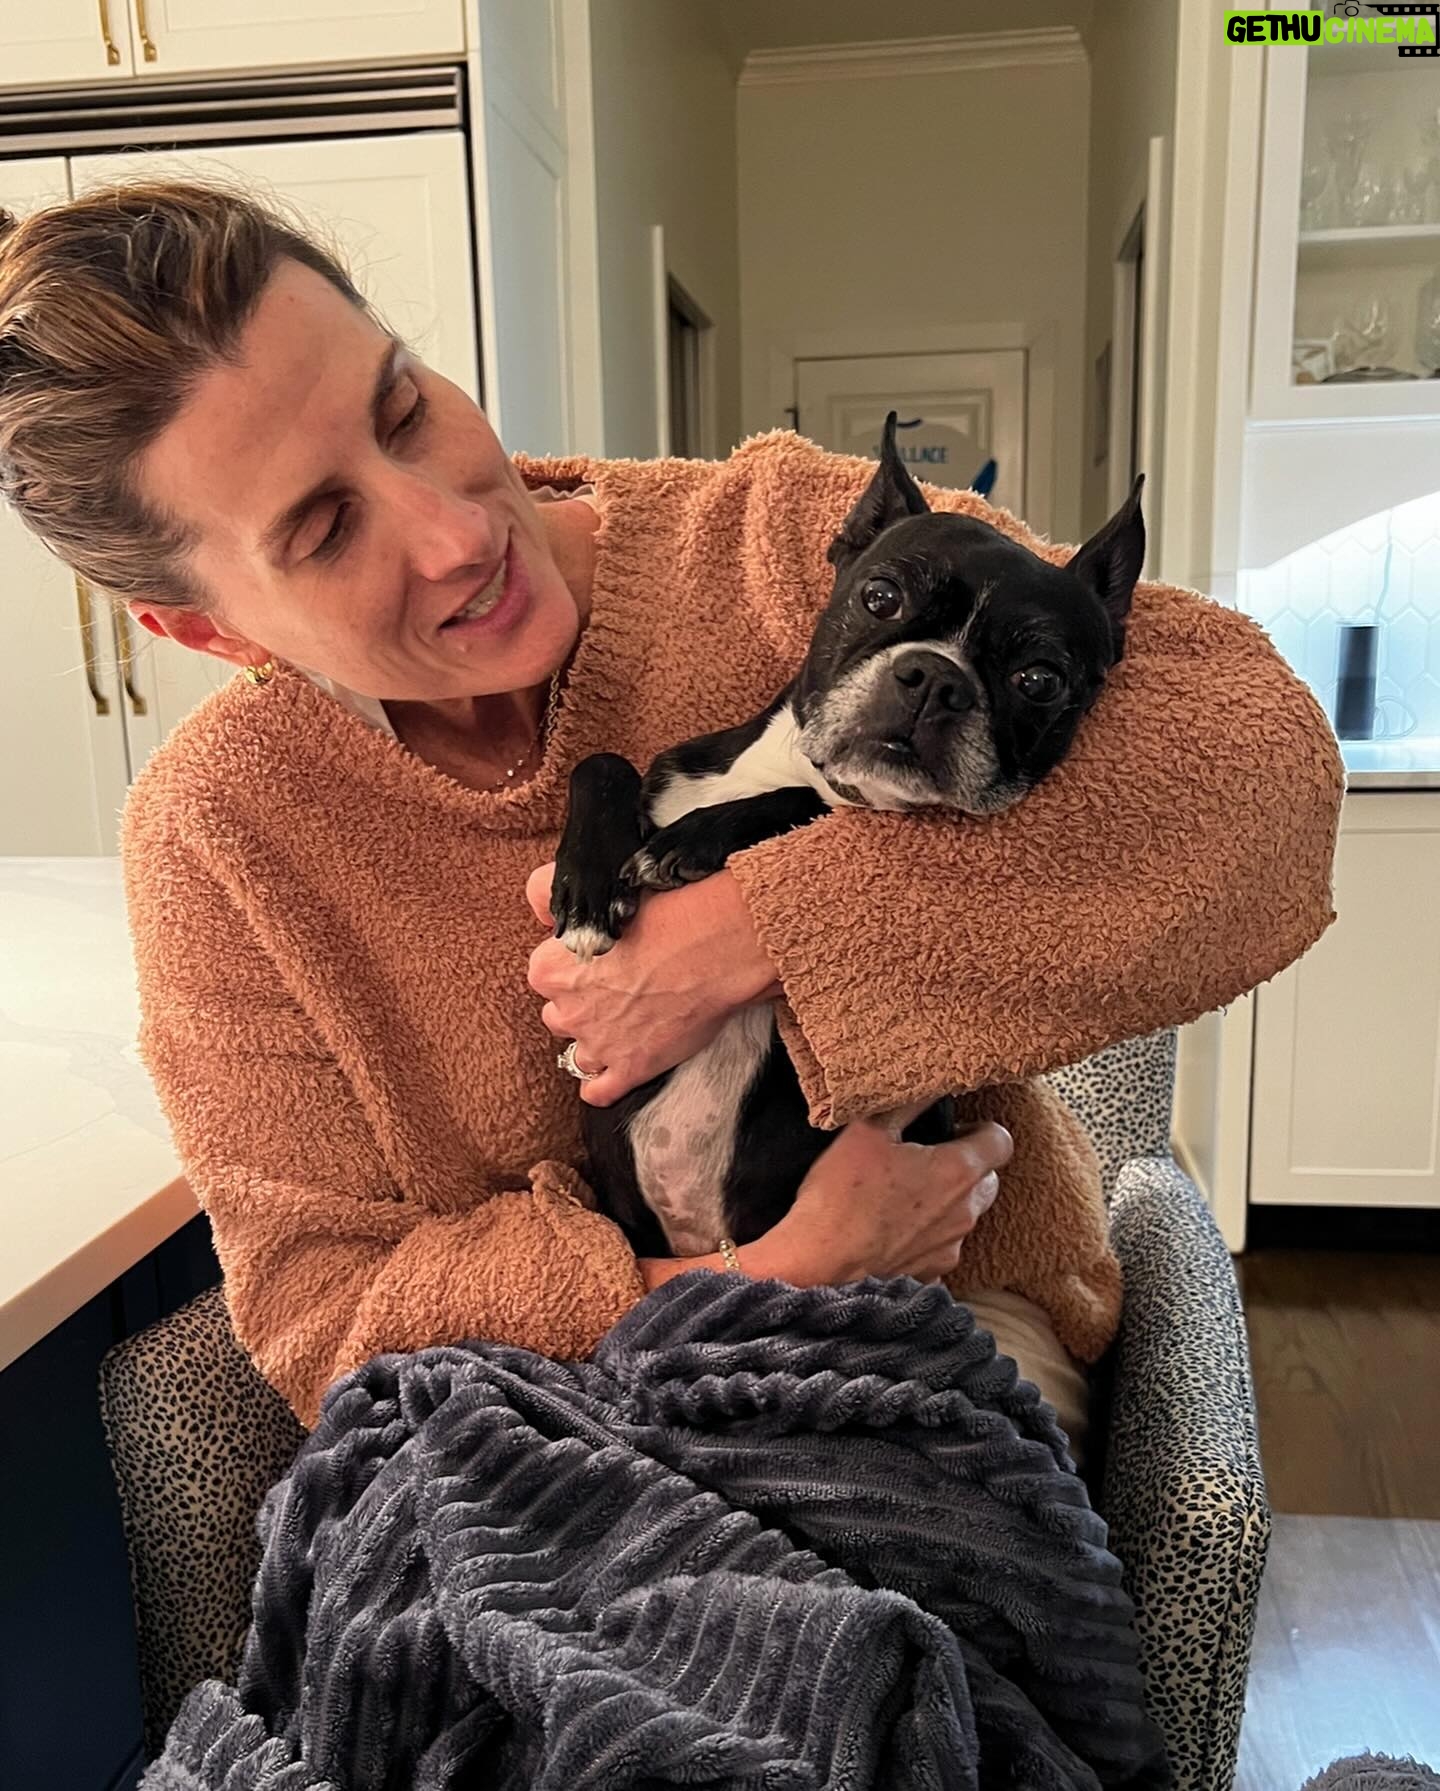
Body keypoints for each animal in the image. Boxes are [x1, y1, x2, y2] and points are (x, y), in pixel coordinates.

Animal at [551, 414, 1145, 1260]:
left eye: (1040, 679)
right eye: (880, 596)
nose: (935, 676)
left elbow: (804, 798)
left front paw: (692, 842)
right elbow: (602, 760)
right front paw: (586, 893)